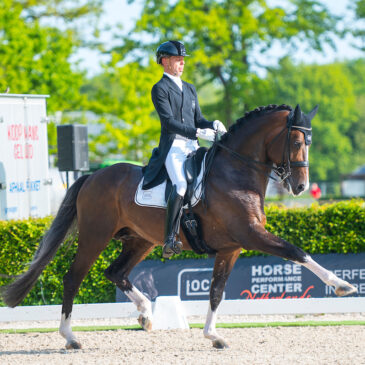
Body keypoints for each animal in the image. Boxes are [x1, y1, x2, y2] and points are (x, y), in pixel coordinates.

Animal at [1, 104, 356, 348]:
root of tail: (92, 176)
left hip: (140, 240)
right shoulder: (251, 235)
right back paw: (70, 337)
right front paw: (342, 285)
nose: (300, 186)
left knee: (115, 272)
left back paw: (146, 315)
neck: (235, 173)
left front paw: (213, 336)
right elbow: (296, 251)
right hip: (95, 236)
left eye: (309, 142)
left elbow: (216, 291)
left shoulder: (232, 247)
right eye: (296, 141)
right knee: (73, 278)